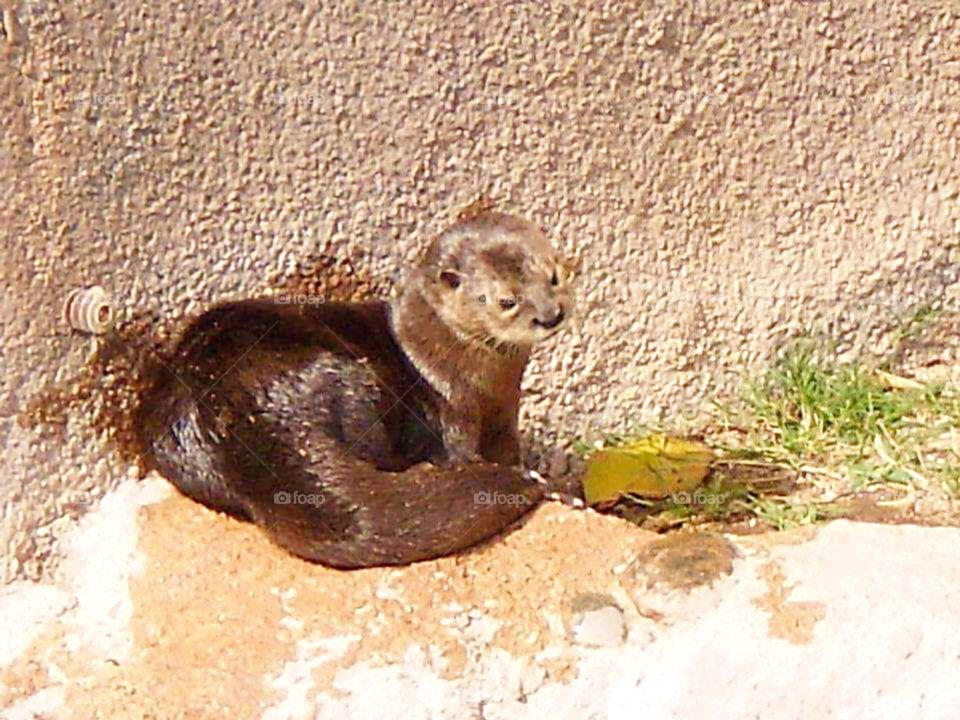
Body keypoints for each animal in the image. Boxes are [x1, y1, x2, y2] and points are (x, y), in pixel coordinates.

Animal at [135, 210, 574, 568]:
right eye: (507, 301)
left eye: (554, 276)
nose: (552, 315)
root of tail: (244, 414)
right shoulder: (452, 409)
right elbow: (462, 456)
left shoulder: (505, 414)